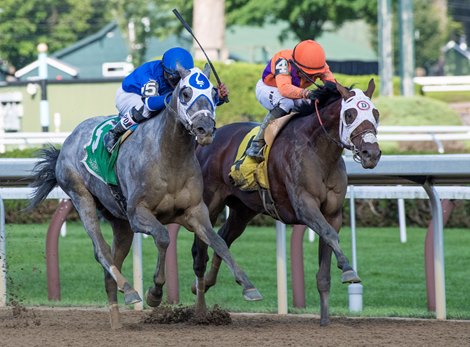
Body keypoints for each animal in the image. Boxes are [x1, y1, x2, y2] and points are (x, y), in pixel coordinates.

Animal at [28, 65, 260, 328]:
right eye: (186, 93)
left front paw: (248, 285)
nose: (205, 129)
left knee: (112, 262)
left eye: (212, 92)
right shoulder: (138, 213)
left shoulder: (195, 212)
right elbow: (163, 237)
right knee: (102, 251)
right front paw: (155, 292)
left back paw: (116, 318)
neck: (169, 157)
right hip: (81, 196)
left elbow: (218, 242)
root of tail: (68, 141)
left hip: (120, 221)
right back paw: (130, 290)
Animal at [193, 80, 380, 328]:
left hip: (243, 209)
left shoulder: (332, 214)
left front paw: (325, 319)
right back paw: (200, 308)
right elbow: (330, 235)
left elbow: (326, 260)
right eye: (350, 114)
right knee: (201, 250)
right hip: (209, 203)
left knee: (223, 238)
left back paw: (228, 285)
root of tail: (205, 141)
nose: (371, 153)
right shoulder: (304, 205)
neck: (318, 151)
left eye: (376, 113)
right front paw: (349, 270)